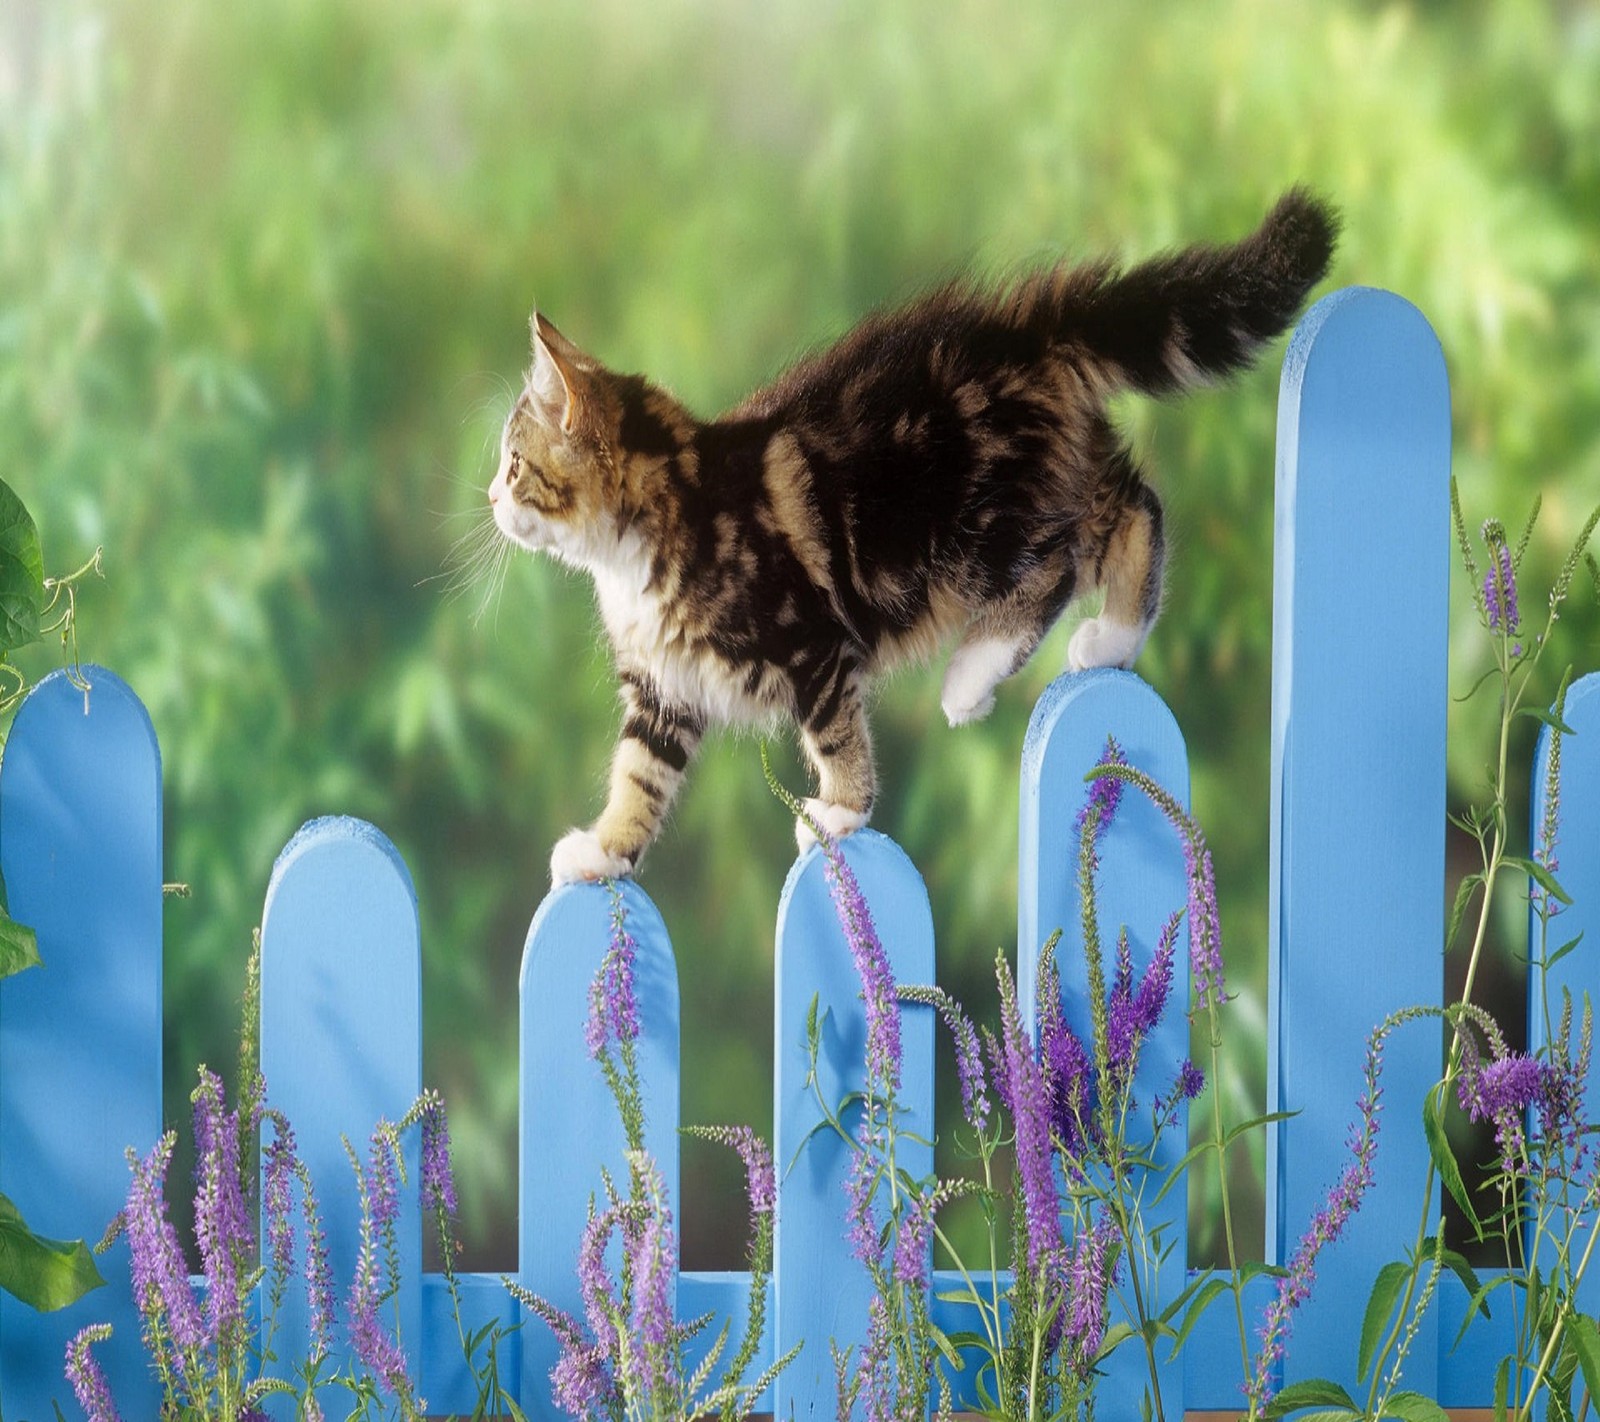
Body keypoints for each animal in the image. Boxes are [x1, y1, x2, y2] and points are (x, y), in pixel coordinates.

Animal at [486, 184, 1337, 882]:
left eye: (515, 463)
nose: (490, 495)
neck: (650, 537)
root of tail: (1027, 328)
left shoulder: (812, 646)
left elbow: (834, 737)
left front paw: (840, 811)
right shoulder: (662, 691)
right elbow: (637, 776)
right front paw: (603, 850)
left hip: (972, 528)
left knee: (1062, 563)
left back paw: (980, 672)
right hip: (1049, 477)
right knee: (1132, 504)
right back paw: (1117, 635)